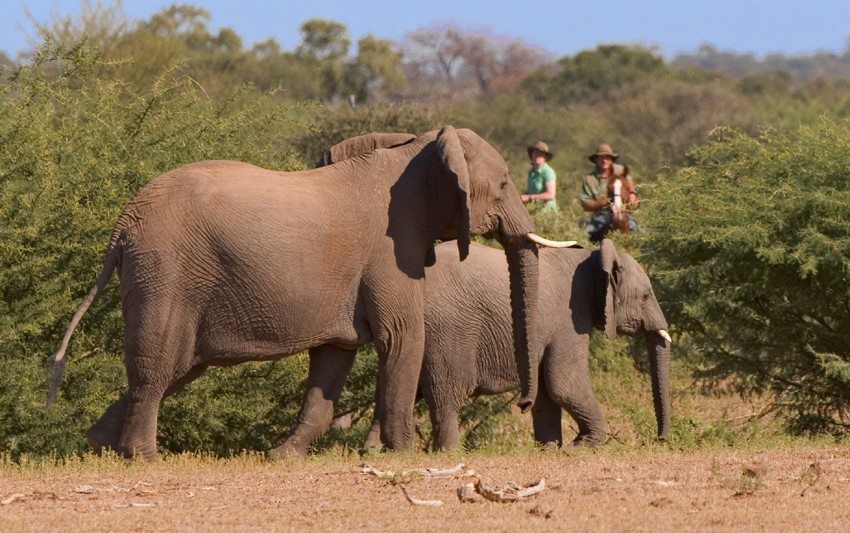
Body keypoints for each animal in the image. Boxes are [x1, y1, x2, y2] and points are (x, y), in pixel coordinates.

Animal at [48, 125, 568, 458]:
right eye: (504, 184)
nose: (524, 404)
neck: (419, 148)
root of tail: (122, 223)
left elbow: (335, 355)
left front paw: (283, 457)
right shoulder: (391, 247)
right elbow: (402, 336)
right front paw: (402, 455)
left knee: (177, 366)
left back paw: (99, 445)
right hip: (164, 273)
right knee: (158, 366)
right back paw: (142, 456)